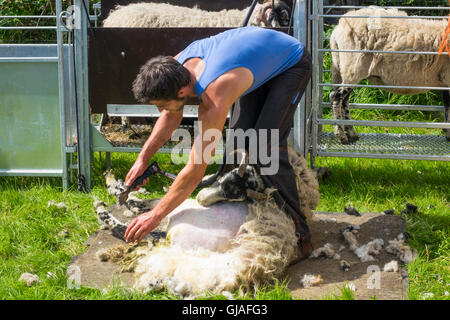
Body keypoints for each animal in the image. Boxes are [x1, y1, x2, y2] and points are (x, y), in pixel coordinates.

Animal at [97, 146, 320, 296]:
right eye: (228, 175)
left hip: (180, 227)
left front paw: (114, 191)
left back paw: (103, 210)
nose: (201, 198)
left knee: (132, 230)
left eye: (237, 196)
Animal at [326, 6, 450, 144]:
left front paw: (447, 133)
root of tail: (337, 30)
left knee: (344, 100)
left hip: (344, 69)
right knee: (336, 96)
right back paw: (341, 135)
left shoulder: (444, 83)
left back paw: (351, 133)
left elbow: (447, 107)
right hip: (353, 67)